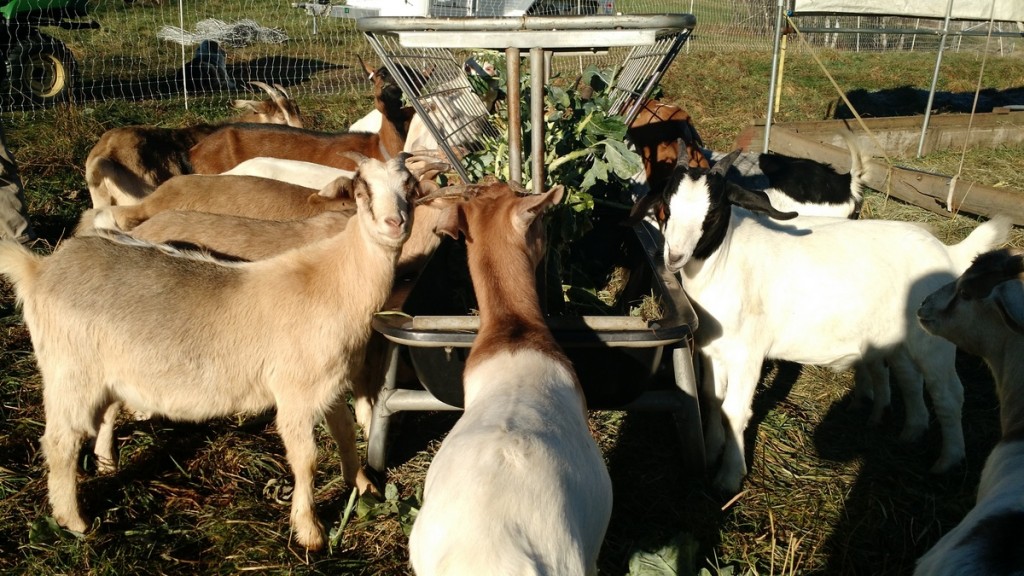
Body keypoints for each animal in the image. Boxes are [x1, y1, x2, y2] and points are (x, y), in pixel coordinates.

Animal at [0, 154, 419, 549]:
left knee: (102, 413)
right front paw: (309, 530)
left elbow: (346, 436)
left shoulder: (329, 386)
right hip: (69, 370)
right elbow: (306, 461)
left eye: (409, 188)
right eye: (362, 191)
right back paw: (74, 520)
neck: (334, 280)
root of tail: (40, 269)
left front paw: (364, 486)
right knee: (60, 442)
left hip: (106, 369)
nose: (394, 223)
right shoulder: (294, 394)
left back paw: (105, 464)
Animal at [626, 150, 1011, 491]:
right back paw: (910, 433)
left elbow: (734, 410)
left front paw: (729, 477)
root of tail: (948, 251)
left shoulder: (747, 353)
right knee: (909, 379)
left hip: (934, 341)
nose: (675, 257)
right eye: (666, 207)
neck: (725, 261)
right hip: (899, 336)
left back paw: (948, 460)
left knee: (948, 393)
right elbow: (710, 399)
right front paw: (712, 451)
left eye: (714, 213)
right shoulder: (711, 350)